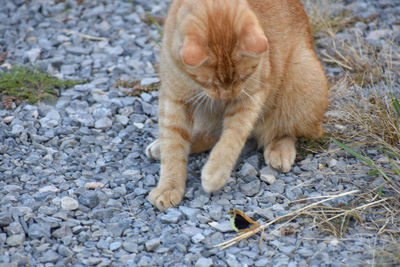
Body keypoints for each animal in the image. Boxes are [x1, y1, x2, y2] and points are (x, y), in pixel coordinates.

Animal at [145, 0, 326, 211]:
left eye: (243, 77)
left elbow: (231, 139)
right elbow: (173, 144)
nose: (226, 95)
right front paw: (169, 186)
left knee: (286, 131)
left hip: (301, 75)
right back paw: (159, 148)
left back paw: (280, 150)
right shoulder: (174, 98)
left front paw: (214, 174)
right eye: (210, 82)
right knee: (208, 136)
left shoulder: (250, 98)